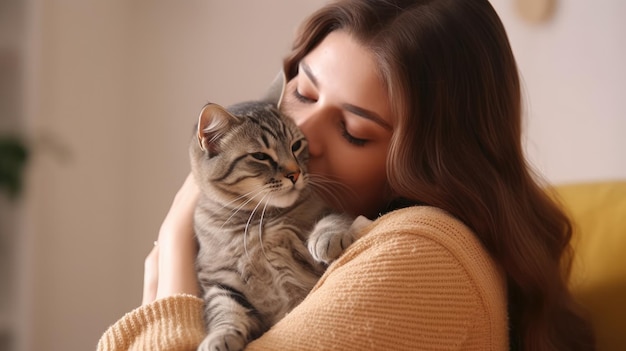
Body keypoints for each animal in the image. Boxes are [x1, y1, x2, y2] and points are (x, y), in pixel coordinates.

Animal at [188, 99, 356, 351]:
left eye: (296, 145)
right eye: (260, 156)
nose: (295, 174)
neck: (259, 219)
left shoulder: (324, 212)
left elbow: (332, 219)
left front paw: (326, 238)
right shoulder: (218, 279)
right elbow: (225, 311)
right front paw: (219, 337)